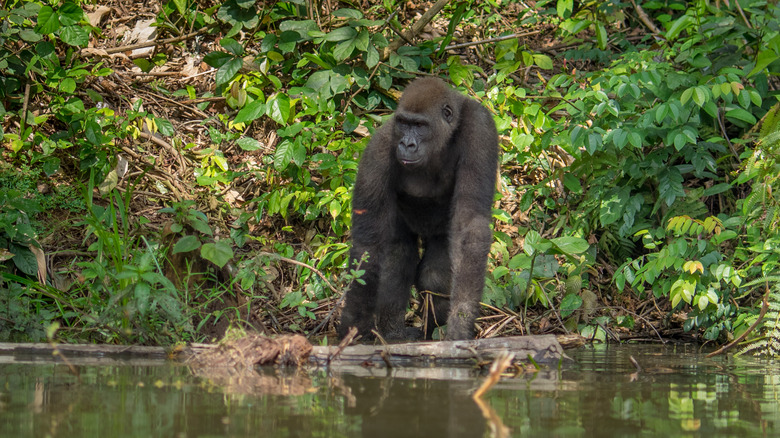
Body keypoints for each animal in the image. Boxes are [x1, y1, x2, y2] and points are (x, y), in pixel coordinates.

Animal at [336, 76, 496, 342]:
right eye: (404, 123)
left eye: (420, 125)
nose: (406, 144)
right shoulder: (378, 149)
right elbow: (368, 245)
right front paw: (353, 328)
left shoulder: (480, 129)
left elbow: (470, 225)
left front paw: (460, 323)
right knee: (396, 260)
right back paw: (393, 333)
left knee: (434, 274)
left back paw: (429, 331)